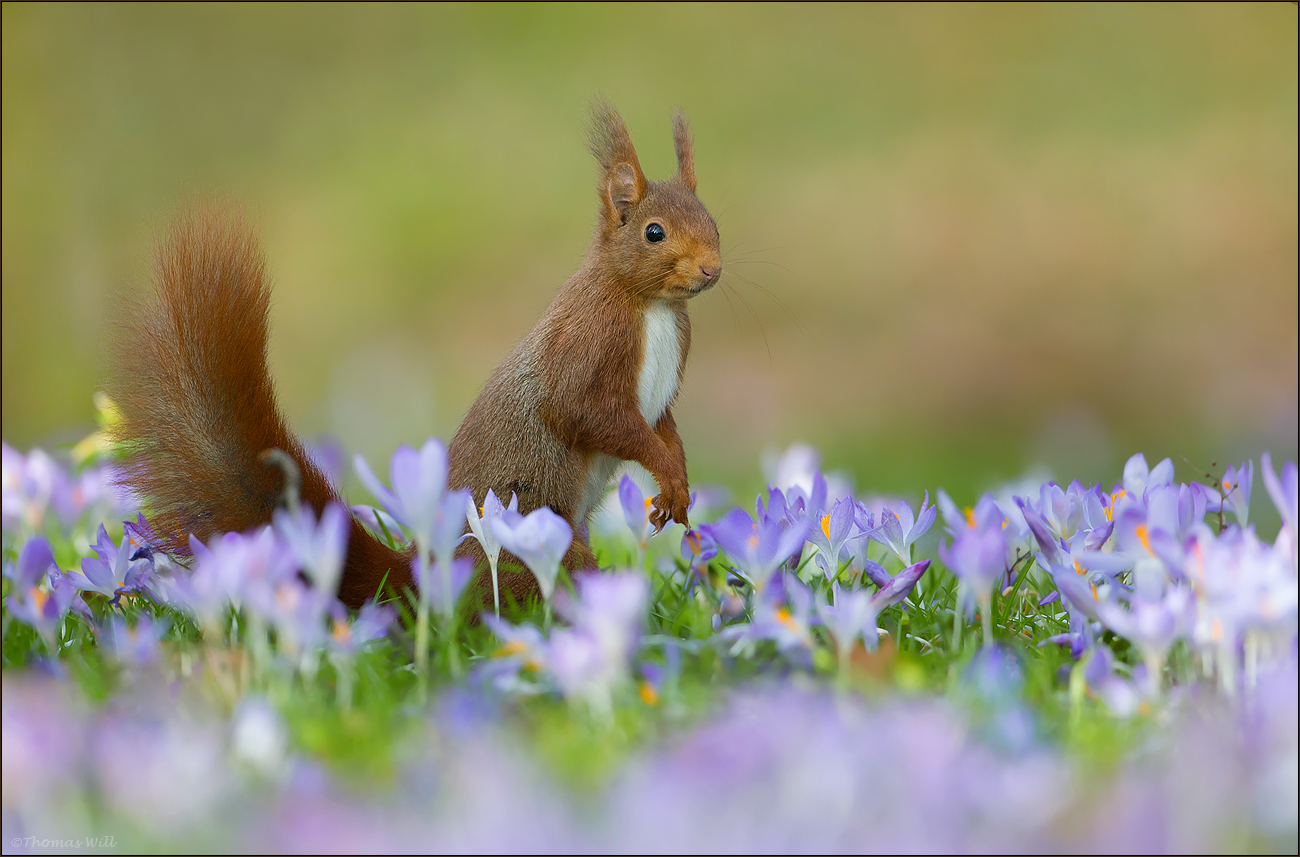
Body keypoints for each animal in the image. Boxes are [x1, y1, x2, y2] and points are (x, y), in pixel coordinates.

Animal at [110, 102, 722, 611]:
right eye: (654, 232)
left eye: (712, 221)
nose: (712, 269)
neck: (650, 304)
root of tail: (421, 578)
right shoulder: (588, 350)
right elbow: (592, 415)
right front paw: (667, 471)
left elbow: (662, 425)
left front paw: (678, 480)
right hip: (540, 552)